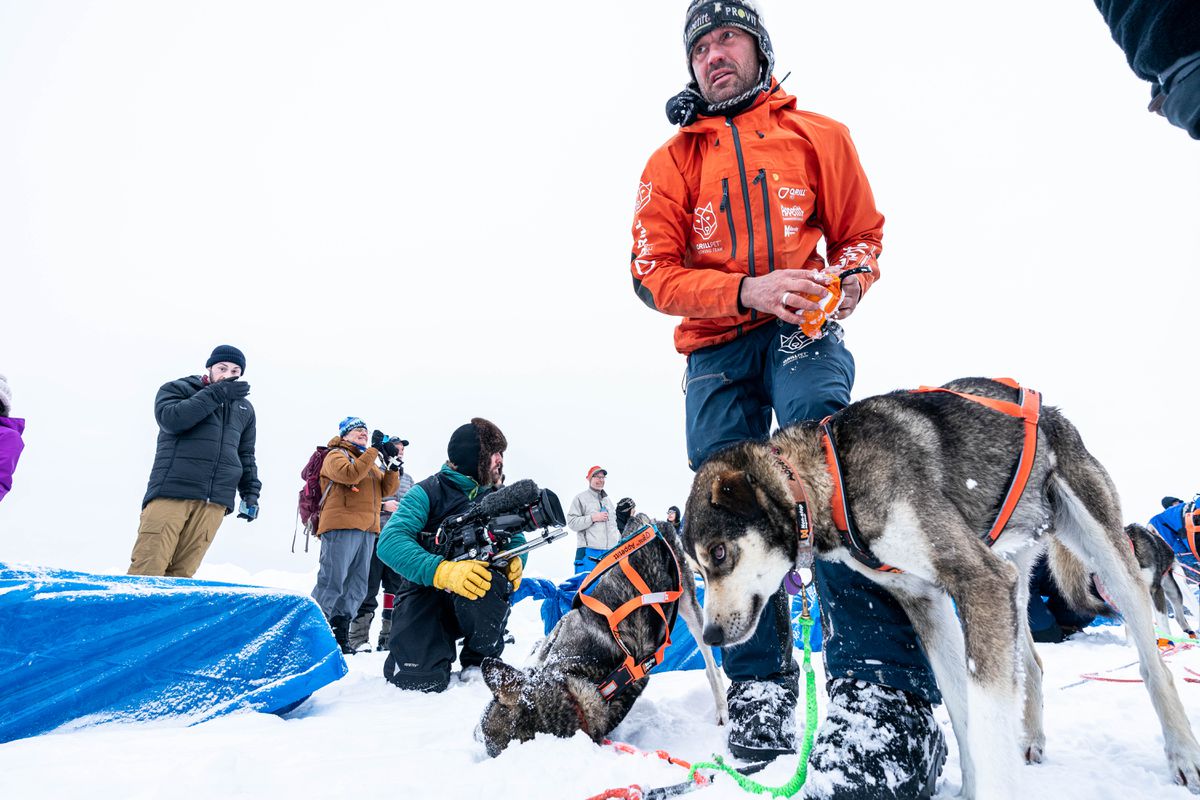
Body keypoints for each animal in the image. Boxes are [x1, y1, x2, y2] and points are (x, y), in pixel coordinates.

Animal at [475, 520, 720, 758]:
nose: (474, 734)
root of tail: (654, 522)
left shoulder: (566, 622)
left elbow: (538, 652)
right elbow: (538, 653)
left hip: (688, 601)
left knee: (712, 668)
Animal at [686, 379, 1200, 796]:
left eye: (718, 553)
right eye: (695, 565)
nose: (709, 634)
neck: (830, 479)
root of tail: (1049, 410)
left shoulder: (977, 580)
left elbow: (987, 719)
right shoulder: (929, 602)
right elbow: (962, 709)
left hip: (1103, 552)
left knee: (1154, 665)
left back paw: (1182, 754)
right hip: (1012, 576)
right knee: (1031, 664)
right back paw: (1031, 738)